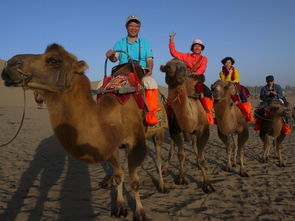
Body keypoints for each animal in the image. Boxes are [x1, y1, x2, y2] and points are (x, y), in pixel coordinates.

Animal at [1, 43, 168, 221]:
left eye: (53, 60)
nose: (10, 64)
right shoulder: (110, 143)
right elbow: (118, 175)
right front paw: (119, 207)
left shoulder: (136, 144)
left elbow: (135, 181)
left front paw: (140, 213)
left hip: (159, 132)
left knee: (158, 158)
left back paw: (162, 185)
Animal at [160, 58, 215, 193]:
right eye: (168, 67)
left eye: (184, 67)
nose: (181, 72)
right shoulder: (175, 130)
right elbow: (181, 155)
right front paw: (181, 178)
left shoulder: (204, 131)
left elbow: (201, 158)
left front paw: (207, 184)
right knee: (172, 149)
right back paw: (164, 168)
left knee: (195, 148)